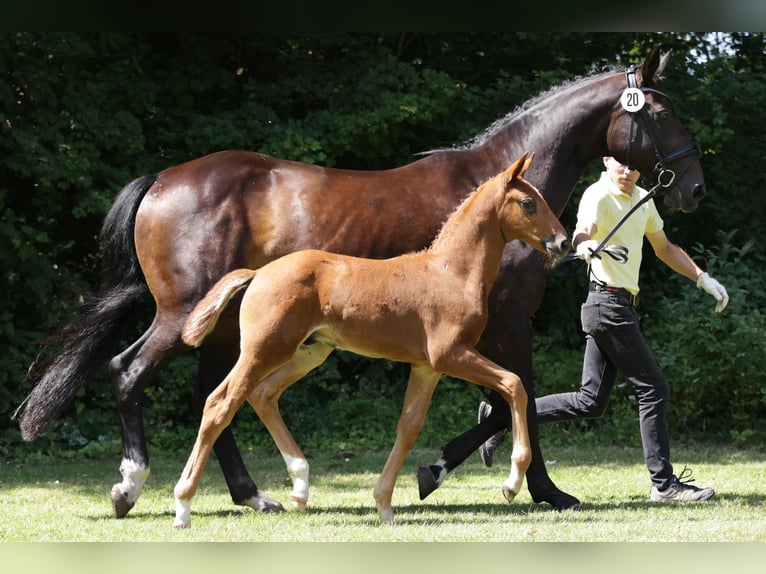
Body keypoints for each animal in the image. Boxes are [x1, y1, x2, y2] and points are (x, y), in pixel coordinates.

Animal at [15, 47, 704, 520]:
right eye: (661, 111)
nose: (694, 187)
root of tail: (162, 179)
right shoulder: (509, 322)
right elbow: (524, 397)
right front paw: (531, 487)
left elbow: (503, 401)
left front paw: (444, 468)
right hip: (180, 316)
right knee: (132, 374)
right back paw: (132, 485)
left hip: (223, 328)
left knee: (215, 395)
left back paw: (256, 494)